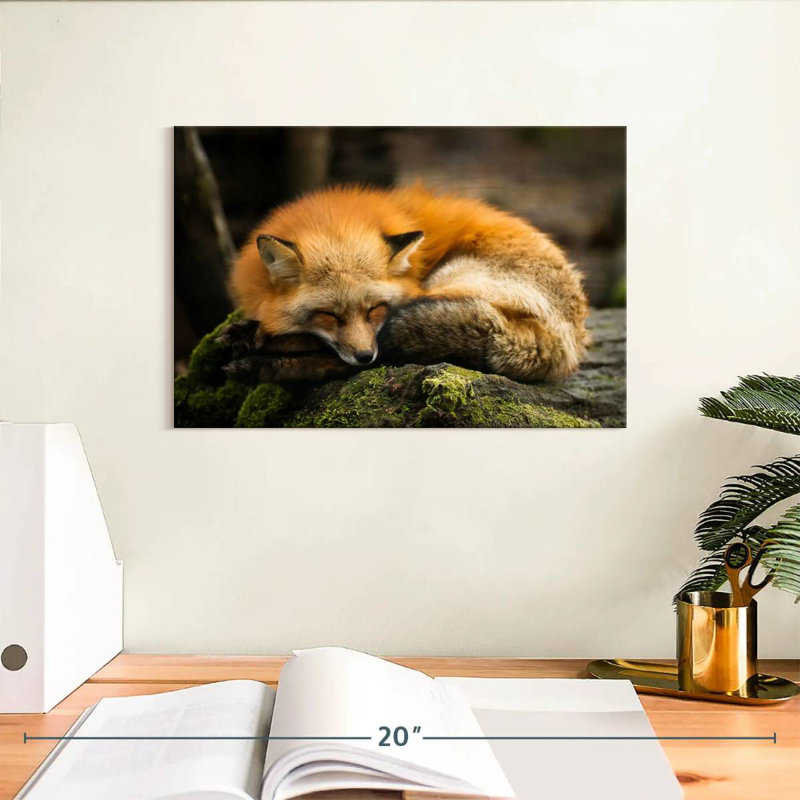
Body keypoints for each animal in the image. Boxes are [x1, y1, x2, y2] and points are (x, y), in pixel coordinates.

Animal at [225, 185, 589, 383]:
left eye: (374, 309)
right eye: (328, 315)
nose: (364, 355)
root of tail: (570, 340)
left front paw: (260, 340)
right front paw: (253, 333)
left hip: (448, 283)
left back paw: (262, 363)